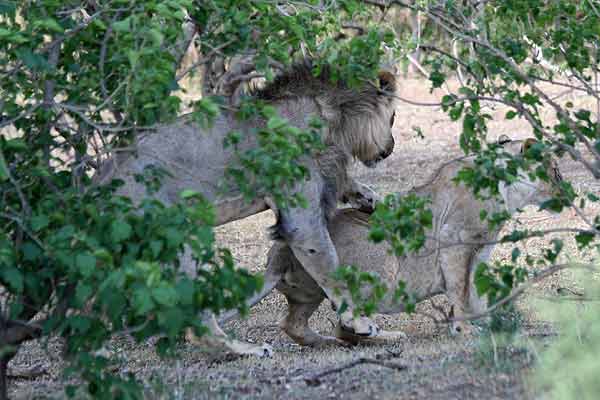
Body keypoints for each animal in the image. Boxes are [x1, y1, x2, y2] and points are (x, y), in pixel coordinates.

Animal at [97, 61, 398, 356]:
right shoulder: (301, 219)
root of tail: (102, 180)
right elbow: (329, 268)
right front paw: (359, 323)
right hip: (178, 239)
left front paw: (371, 200)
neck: (333, 119)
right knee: (198, 328)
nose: (391, 148)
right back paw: (248, 349)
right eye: (393, 117)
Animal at [231, 138, 564, 344]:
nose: (566, 191)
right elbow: (460, 289)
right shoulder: (455, 241)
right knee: (344, 325)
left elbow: (474, 291)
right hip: (376, 269)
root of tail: (278, 254)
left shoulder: (479, 251)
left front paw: (486, 322)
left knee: (295, 325)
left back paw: (326, 342)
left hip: (309, 292)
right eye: (556, 171)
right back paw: (382, 335)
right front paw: (465, 329)